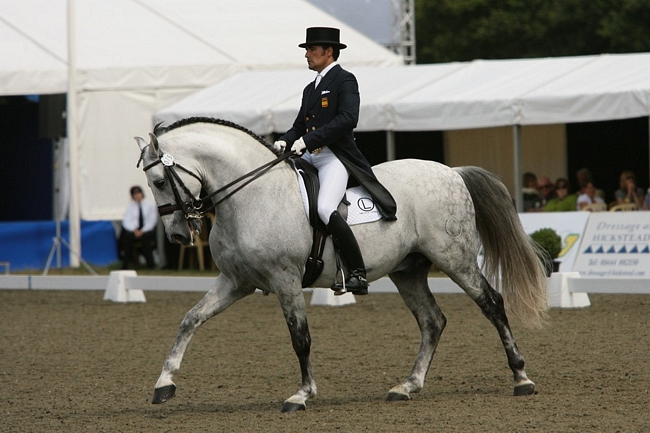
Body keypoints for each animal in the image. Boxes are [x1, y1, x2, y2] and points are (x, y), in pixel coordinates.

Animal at [135, 117, 548, 412]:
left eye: (159, 180)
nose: (177, 236)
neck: (252, 195)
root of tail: (452, 172)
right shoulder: (236, 281)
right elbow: (190, 319)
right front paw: (164, 385)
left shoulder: (285, 279)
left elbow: (300, 337)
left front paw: (302, 395)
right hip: (408, 270)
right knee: (432, 320)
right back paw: (407, 386)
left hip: (455, 258)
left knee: (492, 304)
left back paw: (521, 378)